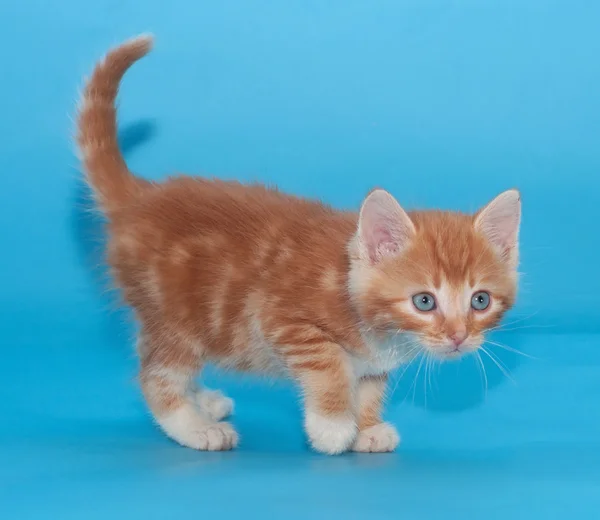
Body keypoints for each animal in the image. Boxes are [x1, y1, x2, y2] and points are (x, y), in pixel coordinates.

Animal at [77, 34, 520, 456]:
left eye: (480, 301)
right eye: (424, 301)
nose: (459, 337)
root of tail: (139, 198)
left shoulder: (371, 364)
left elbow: (369, 387)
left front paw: (368, 428)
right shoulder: (280, 318)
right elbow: (329, 366)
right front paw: (333, 426)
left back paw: (203, 400)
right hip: (177, 312)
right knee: (156, 374)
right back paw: (195, 426)